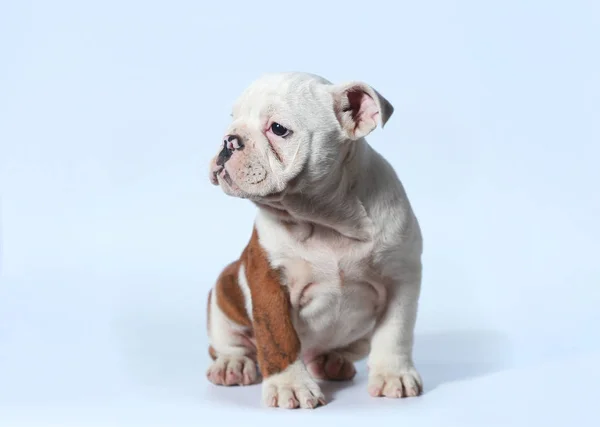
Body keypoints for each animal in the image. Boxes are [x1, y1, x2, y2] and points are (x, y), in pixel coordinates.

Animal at [206, 72, 422, 410]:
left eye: (278, 129)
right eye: (233, 119)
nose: (229, 140)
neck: (325, 219)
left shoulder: (401, 279)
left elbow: (395, 332)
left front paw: (393, 375)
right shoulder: (268, 281)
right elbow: (278, 336)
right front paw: (290, 385)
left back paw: (332, 361)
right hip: (222, 292)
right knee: (226, 342)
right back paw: (233, 364)